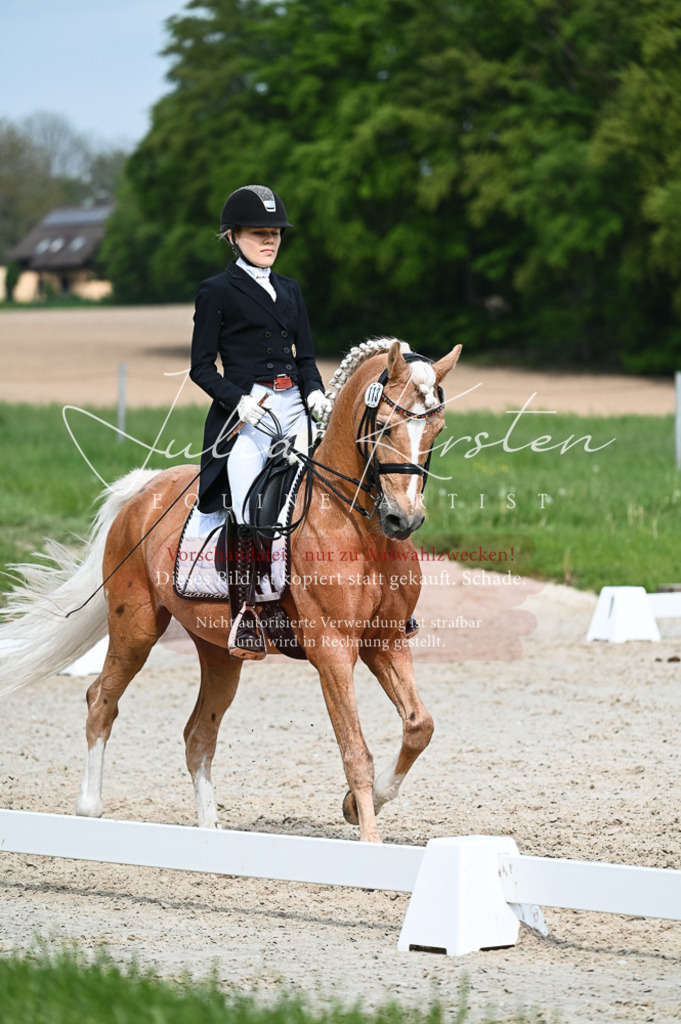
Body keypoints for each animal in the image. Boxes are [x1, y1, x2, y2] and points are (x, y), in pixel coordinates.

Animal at [0, 338, 461, 843]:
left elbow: (420, 726)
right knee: (101, 699)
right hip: (135, 629)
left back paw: (209, 832)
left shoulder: (386, 640)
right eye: (382, 427)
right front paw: (370, 843)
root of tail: (144, 488)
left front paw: (355, 807)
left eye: (437, 428)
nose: (404, 520)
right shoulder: (333, 648)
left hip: (220, 652)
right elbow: (355, 751)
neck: (357, 523)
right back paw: (89, 808)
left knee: (198, 736)